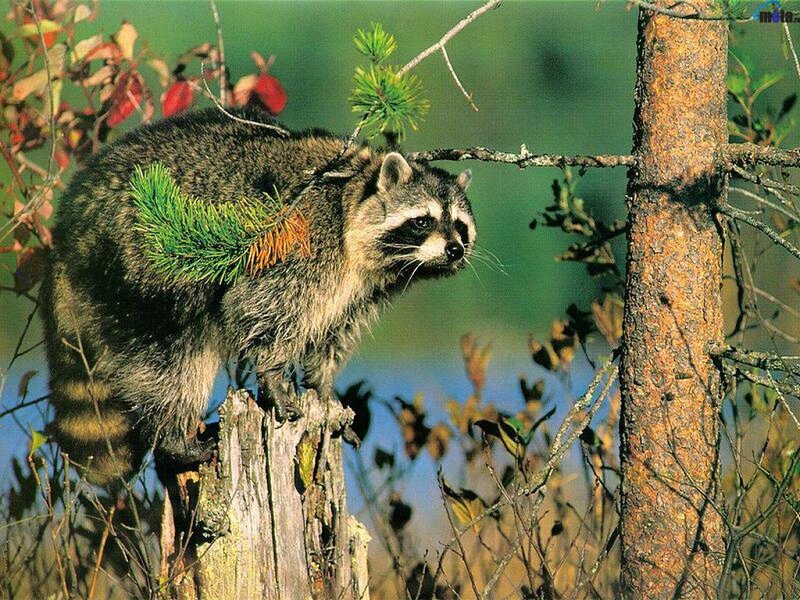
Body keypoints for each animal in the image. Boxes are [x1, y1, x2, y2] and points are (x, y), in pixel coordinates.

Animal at [39, 107, 475, 484]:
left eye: (460, 226)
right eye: (423, 222)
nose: (455, 250)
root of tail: (67, 228)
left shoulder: (364, 290)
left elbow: (332, 334)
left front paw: (324, 389)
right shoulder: (303, 238)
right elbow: (260, 307)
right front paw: (273, 372)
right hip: (140, 262)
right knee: (172, 353)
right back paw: (174, 434)